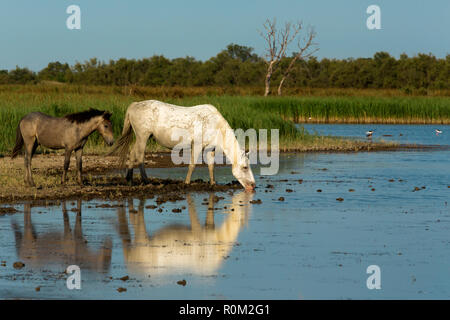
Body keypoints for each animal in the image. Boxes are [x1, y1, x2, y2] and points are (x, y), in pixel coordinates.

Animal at [111, 100, 256, 190]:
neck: (214, 124)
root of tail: (134, 105)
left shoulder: (210, 149)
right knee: (139, 156)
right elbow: (192, 165)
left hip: (141, 137)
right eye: (245, 167)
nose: (253, 185)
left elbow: (211, 166)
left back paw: (130, 180)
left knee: (133, 154)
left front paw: (213, 183)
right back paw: (145, 181)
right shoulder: (196, 145)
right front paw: (186, 183)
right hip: (143, 136)